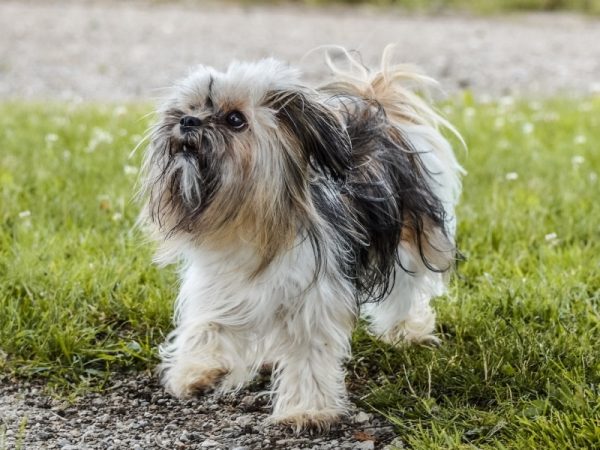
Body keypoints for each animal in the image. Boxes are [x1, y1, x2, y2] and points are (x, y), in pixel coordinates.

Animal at [139, 47, 464, 430]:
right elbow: (207, 326)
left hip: (408, 241)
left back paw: (405, 332)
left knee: (404, 291)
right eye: (188, 108)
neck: (251, 223)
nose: (187, 121)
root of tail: (374, 112)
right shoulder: (220, 285)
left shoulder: (312, 298)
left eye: (235, 119)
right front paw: (196, 370)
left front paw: (307, 410)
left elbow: (308, 355)